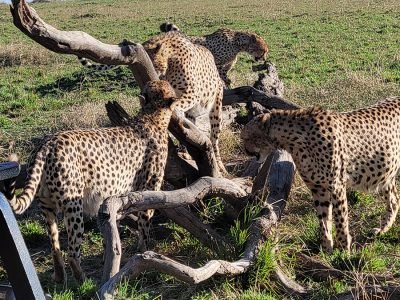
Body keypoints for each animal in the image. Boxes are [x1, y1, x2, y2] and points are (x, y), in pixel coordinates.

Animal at [0, 79, 175, 282]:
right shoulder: (147, 189)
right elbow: (144, 226)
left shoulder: (109, 201)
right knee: (72, 252)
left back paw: (60, 277)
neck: (151, 116)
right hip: (73, 204)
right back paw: (83, 280)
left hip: (46, 205)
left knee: (55, 246)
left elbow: (110, 232)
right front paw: (144, 252)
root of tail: (47, 143)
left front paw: (109, 256)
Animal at [242, 97, 400, 252]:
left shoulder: (336, 186)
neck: (293, 140)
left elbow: (340, 218)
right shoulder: (318, 188)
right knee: (394, 199)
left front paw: (343, 249)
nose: (245, 150)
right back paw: (382, 229)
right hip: (385, 173)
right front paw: (326, 247)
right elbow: (323, 218)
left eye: (246, 137)